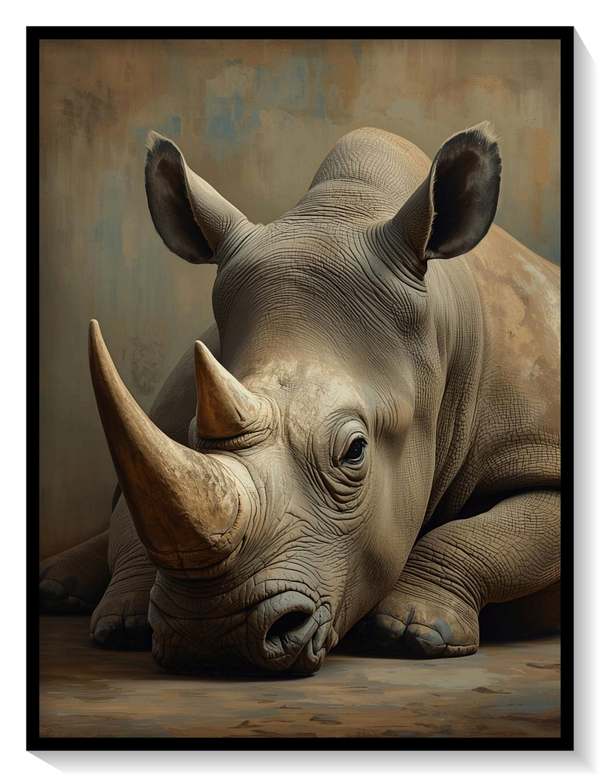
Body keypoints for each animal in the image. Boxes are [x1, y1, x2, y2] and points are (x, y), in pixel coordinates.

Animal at [39, 122, 560, 675]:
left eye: (355, 451)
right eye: (194, 434)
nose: (213, 636)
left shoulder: (539, 445)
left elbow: (493, 535)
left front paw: (412, 632)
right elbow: (137, 507)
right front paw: (121, 623)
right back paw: (62, 591)